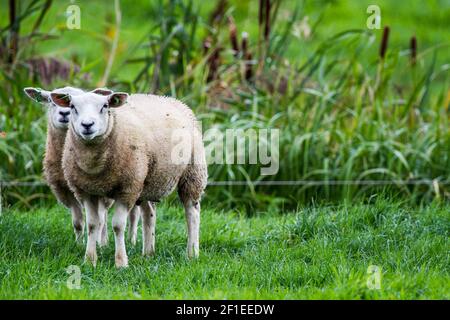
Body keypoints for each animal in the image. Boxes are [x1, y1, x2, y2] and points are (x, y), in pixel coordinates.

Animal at [23, 85, 141, 245]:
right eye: (51, 101)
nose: (64, 113)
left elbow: (101, 219)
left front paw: (100, 244)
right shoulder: (67, 190)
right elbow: (78, 222)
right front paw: (79, 244)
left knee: (134, 214)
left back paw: (131, 240)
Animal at [50, 90, 208, 268]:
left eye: (105, 106)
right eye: (72, 107)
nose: (87, 125)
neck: (94, 165)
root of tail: (171, 100)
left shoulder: (127, 189)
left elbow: (118, 226)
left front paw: (121, 263)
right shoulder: (86, 192)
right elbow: (92, 225)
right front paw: (90, 260)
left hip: (193, 172)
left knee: (192, 213)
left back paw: (192, 253)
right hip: (146, 181)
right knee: (149, 214)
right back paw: (148, 253)